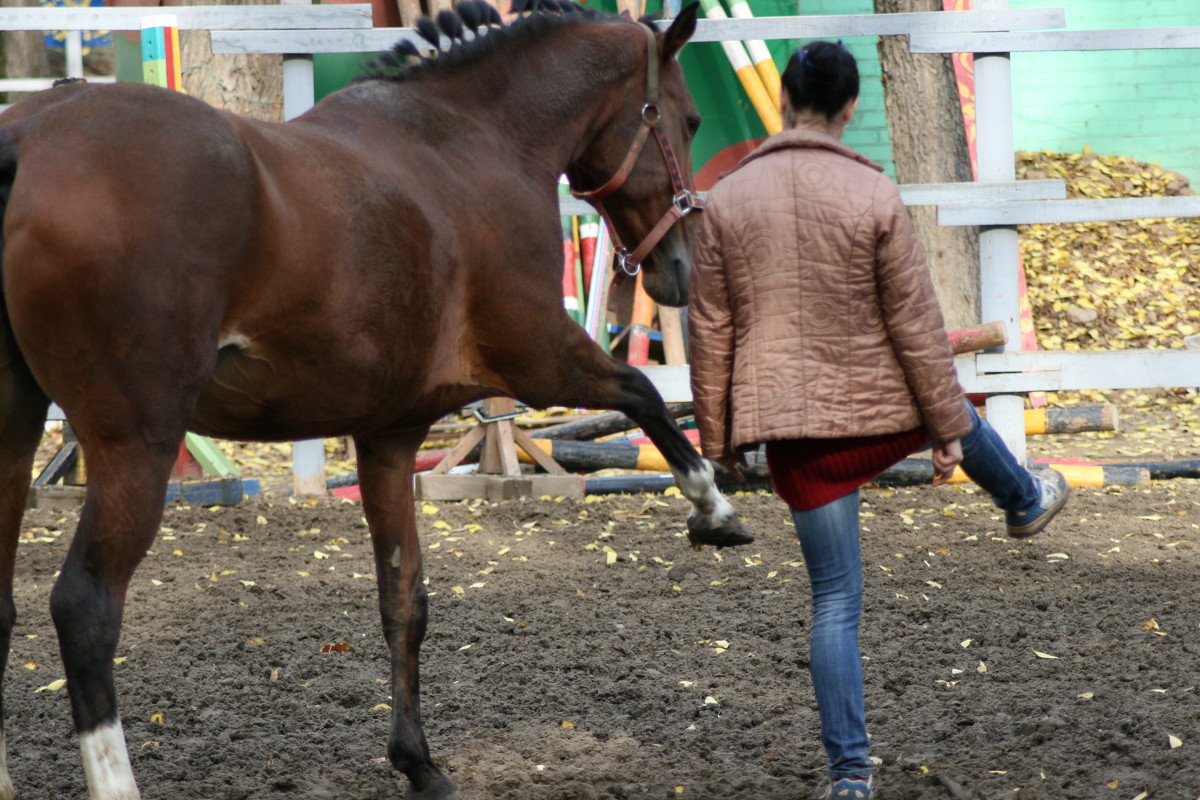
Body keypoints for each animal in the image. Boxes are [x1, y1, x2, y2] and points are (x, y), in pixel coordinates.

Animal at [0, 1, 753, 800]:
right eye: (690, 119)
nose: (679, 268)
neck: (469, 142)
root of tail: (26, 136)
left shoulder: (391, 434)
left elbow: (403, 600)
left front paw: (417, 761)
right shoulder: (541, 357)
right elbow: (644, 394)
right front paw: (715, 511)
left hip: (14, 436)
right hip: (135, 443)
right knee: (84, 609)